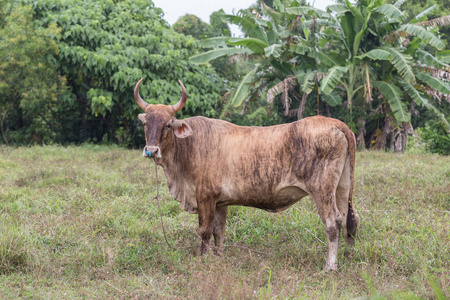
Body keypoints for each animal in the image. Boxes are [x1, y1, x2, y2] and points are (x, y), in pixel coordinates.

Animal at [135, 78, 360, 270]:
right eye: (146, 123)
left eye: (167, 124)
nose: (151, 150)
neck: (188, 146)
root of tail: (337, 124)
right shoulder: (221, 202)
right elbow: (218, 231)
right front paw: (219, 257)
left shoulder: (205, 196)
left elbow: (205, 230)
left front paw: (203, 259)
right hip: (342, 187)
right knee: (350, 219)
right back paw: (348, 258)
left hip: (322, 189)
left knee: (333, 222)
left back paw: (330, 266)